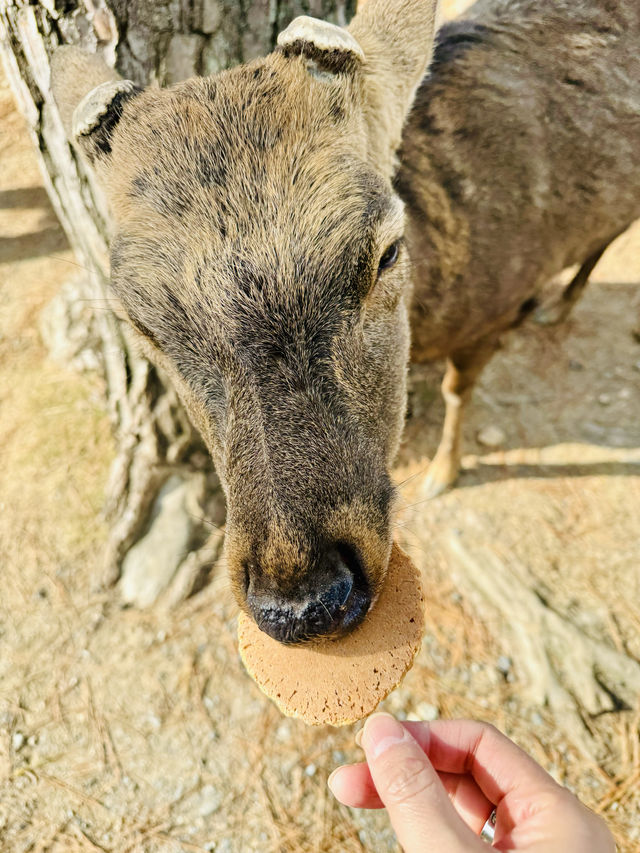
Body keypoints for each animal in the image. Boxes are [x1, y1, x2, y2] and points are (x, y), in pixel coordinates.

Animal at [52, 0, 640, 640]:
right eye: (142, 323)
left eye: (388, 251)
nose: (303, 601)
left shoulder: (500, 308)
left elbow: (458, 391)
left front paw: (444, 473)